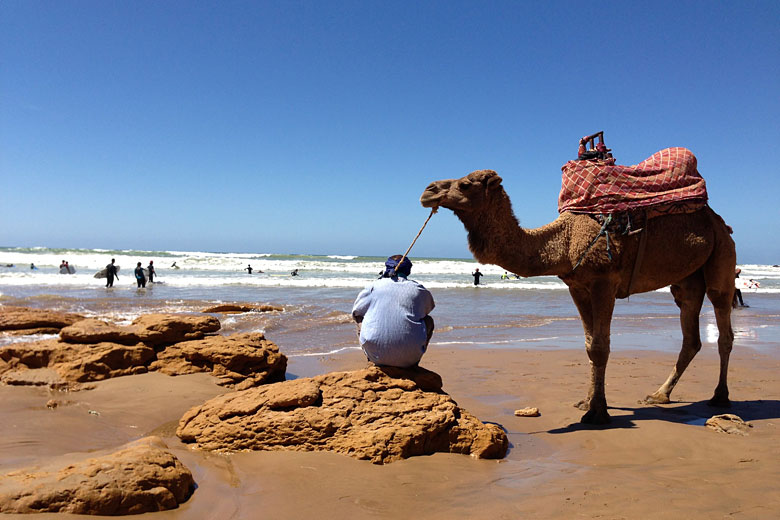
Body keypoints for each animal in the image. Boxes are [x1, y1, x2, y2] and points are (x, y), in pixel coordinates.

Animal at [420, 169, 736, 424]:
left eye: (464, 184)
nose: (428, 190)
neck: (565, 240)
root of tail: (719, 221)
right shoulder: (578, 287)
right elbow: (588, 345)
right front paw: (587, 402)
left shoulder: (604, 282)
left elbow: (600, 346)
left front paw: (597, 413)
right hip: (686, 280)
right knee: (690, 334)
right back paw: (659, 395)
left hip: (722, 253)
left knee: (723, 322)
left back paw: (720, 396)